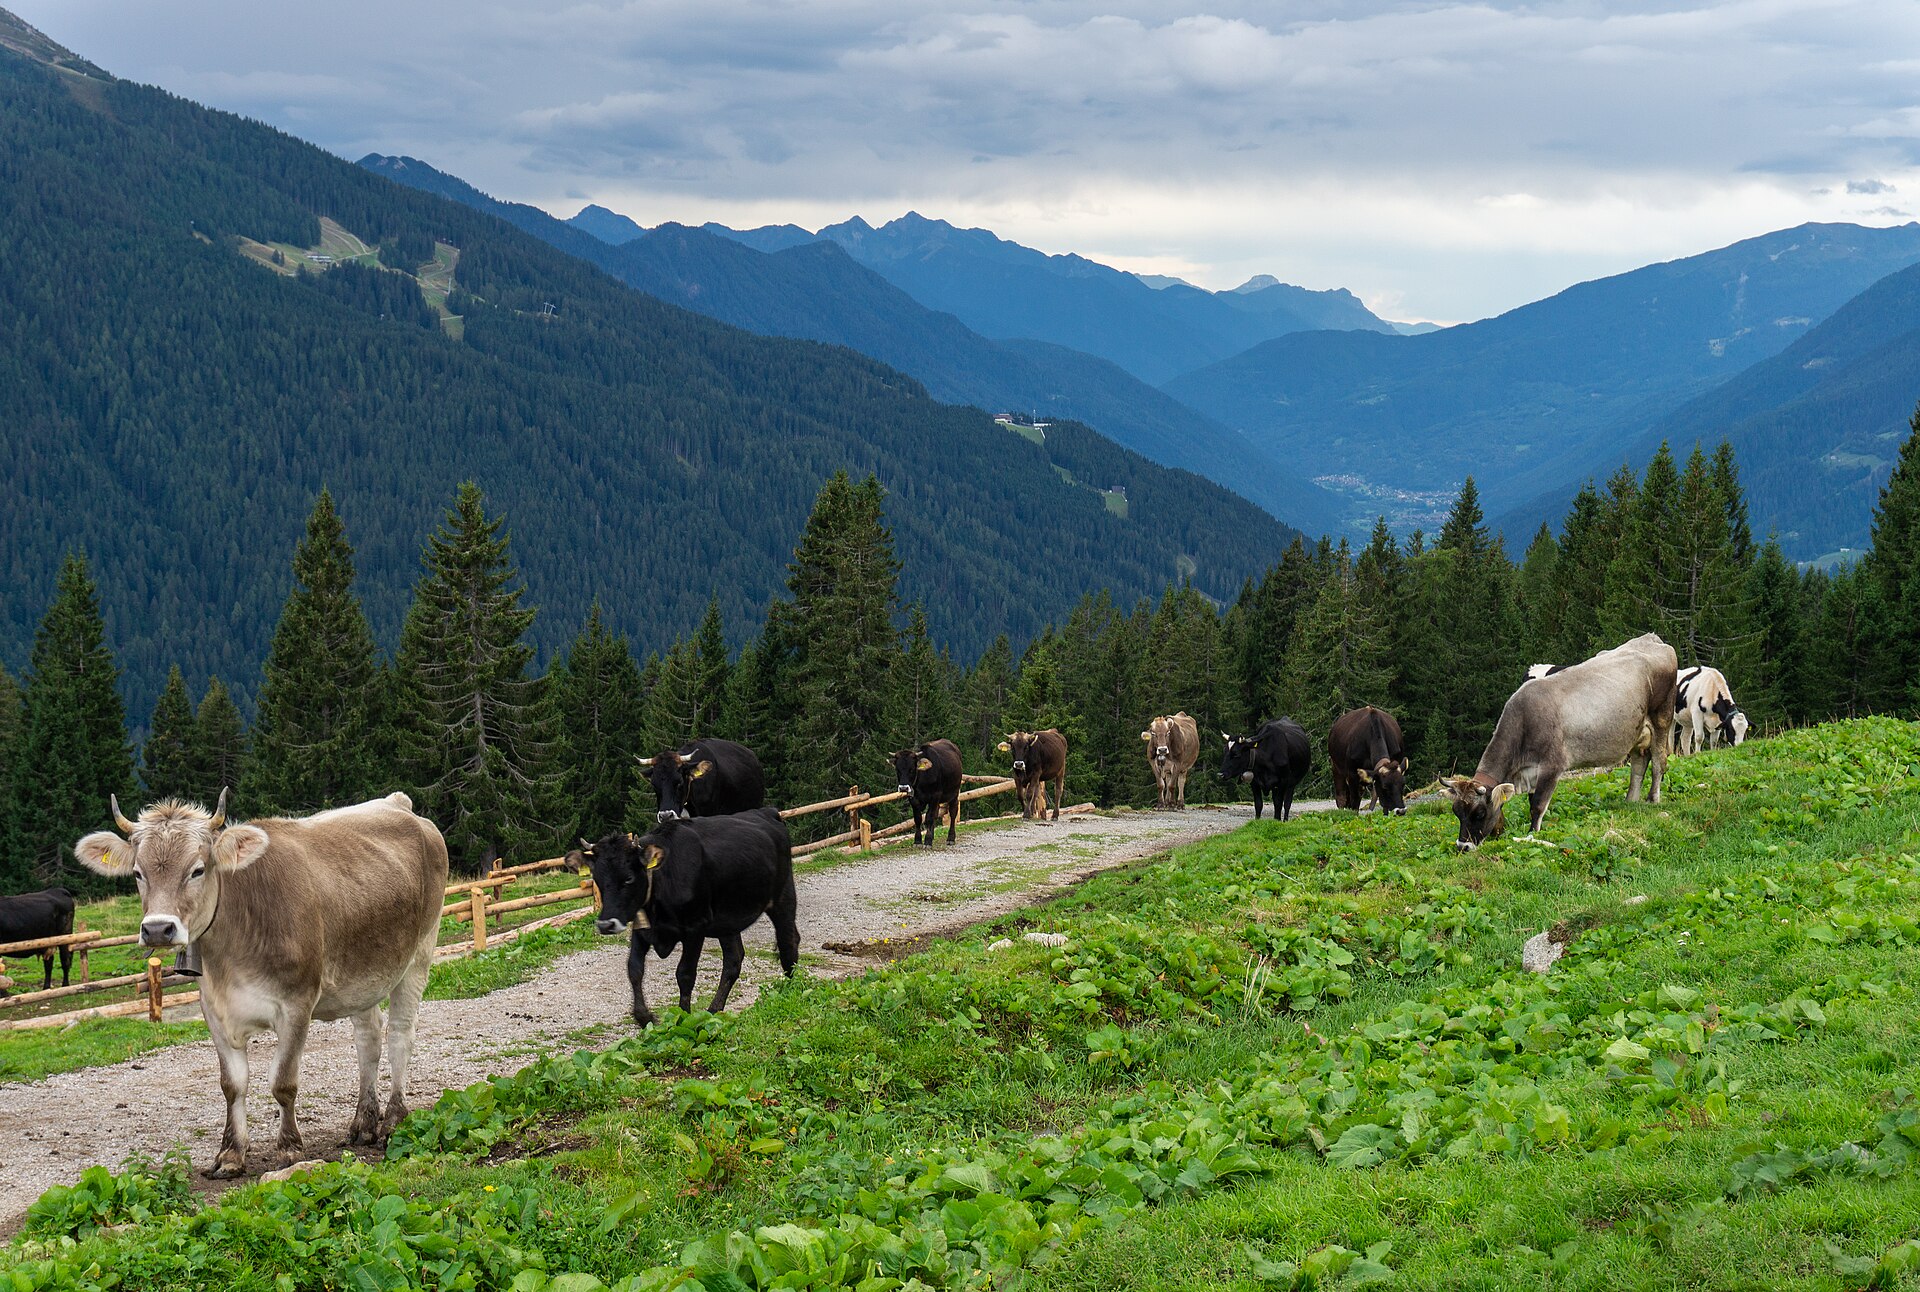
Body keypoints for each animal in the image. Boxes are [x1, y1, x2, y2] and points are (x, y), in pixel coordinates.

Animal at [73, 790, 448, 1178]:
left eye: (198, 869)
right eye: (137, 873)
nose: (158, 929)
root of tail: (398, 803)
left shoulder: (297, 1004)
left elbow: (283, 1083)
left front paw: (289, 1149)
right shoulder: (214, 1010)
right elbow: (232, 1085)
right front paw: (230, 1155)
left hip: (420, 952)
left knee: (400, 1035)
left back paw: (393, 1121)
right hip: (362, 975)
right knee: (368, 1039)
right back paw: (363, 1124)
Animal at [570, 808, 798, 1027]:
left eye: (628, 878)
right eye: (597, 878)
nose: (606, 924)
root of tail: (766, 811)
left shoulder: (695, 927)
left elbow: (685, 974)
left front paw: (682, 1018)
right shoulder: (642, 928)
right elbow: (634, 968)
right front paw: (644, 1017)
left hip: (783, 896)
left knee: (788, 940)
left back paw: (791, 989)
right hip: (727, 920)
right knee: (733, 960)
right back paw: (713, 1011)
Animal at [1439, 633, 1678, 851]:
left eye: (1479, 813)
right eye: (1456, 812)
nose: (1462, 846)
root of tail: (1651, 639)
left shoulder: (1552, 766)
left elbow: (1537, 805)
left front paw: (1532, 835)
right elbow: (1529, 801)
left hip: (1662, 718)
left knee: (1659, 762)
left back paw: (1653, 799)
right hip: (1638, 731)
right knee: (1639, 764)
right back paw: (1631, 800)